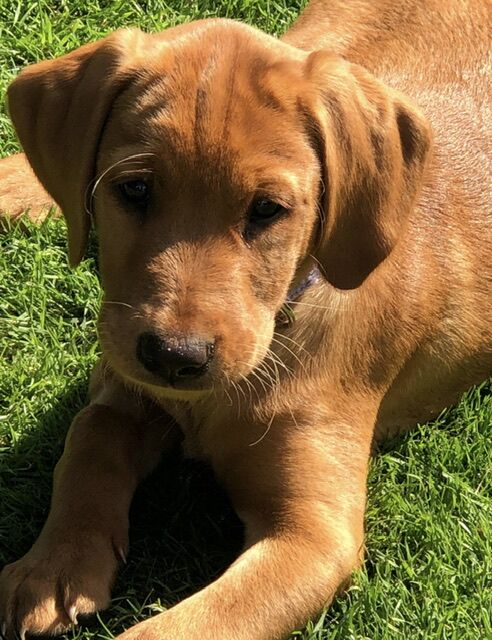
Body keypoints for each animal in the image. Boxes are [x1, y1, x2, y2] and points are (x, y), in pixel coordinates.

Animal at [0, 1, 492, 640]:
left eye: (267, 210)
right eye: (134, 189)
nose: (174, 357)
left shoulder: (314, 536)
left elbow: (179, 629)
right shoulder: (124, 381)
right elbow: (90, 433)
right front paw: (53, 566)